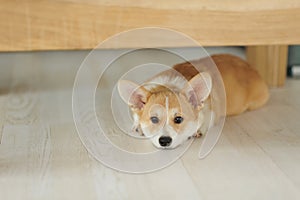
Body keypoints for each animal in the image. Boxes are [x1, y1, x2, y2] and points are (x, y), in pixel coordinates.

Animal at [117, 53, 270, 148]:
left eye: (178, 119)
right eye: (154, 119)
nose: (165, 141)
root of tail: (253, 68)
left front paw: (197, 130)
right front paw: (138, 125)